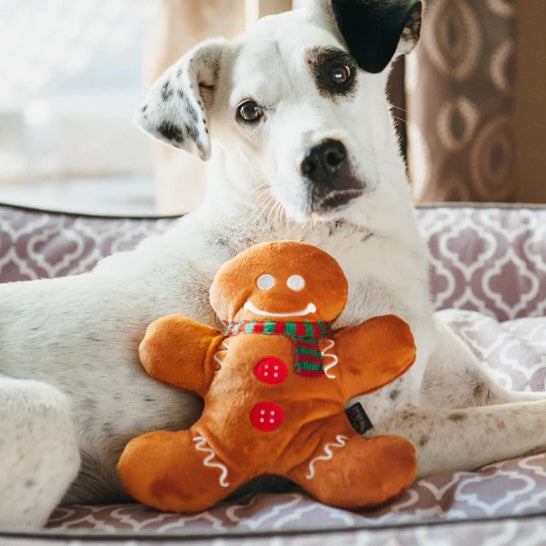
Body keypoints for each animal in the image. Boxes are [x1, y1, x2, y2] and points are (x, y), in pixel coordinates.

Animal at [1, 0, 544, 528]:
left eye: (339, 72)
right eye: (248, 111)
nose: (320, 158)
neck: (337, 235)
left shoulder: (472, 391)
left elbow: (527, 399)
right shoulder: (388, 428)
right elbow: (531, 418)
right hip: (46, 416)